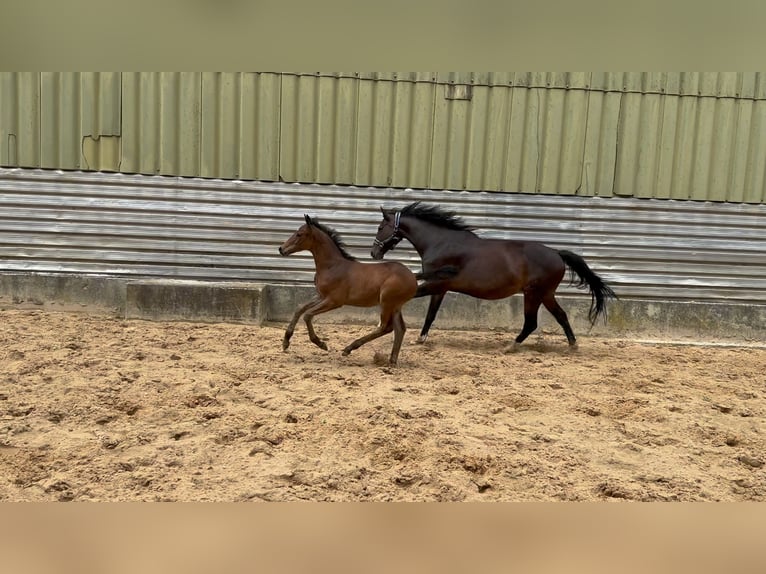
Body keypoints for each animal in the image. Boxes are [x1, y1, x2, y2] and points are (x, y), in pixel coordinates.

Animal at [280, 214, 420, 366]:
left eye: (299, 234)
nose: (281, 249)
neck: (332, 266)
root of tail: (413, 278)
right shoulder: (322, 296)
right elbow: (299, 309)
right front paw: (285, 342)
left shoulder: (334, 301)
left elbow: (307, 315)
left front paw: (321, 344)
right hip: (396, 306)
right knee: (399, 329)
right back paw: (392, 360)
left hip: (387, 302)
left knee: (385, 327)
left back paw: (349, 348)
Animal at [372, 205, 616, 354]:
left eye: (380, 227)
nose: (374, 254)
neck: (441, 243)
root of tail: (557, 253)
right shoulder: (440, 288)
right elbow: (430, 315)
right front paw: (421, 339)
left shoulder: (437, 283)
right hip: (546, 294)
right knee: (561, 316)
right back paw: (572, 345)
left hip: (533, 294)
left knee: (531, 322)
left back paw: (511, 346)